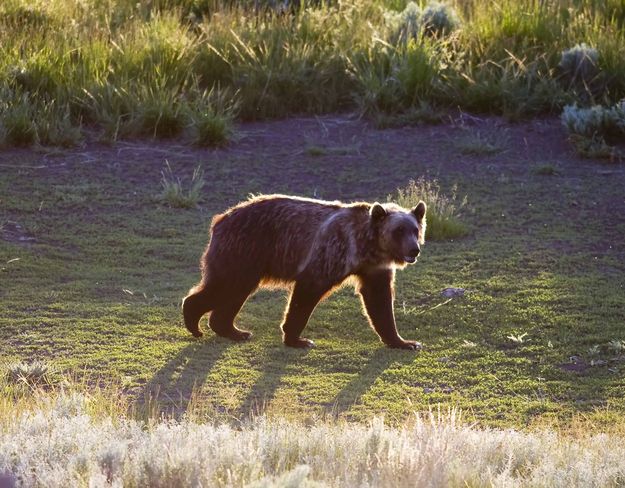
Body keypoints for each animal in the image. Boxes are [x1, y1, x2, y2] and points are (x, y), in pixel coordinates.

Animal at [180, 195, 424, 350]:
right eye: (398, 230)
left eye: (415, 229)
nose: (414, 249)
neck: (367, 246)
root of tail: (220, 218)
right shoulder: (332, 252)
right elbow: (307, 292)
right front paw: (298, 339)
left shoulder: (374, 269)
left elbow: (379, 302)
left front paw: (405, 342)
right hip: (245, 249)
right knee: (227, 284)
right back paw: (194, 320)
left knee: (234, 292)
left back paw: (234, 331)